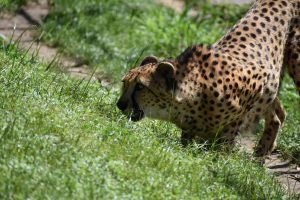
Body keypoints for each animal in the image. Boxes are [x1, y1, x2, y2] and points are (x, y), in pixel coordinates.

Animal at [117, 0, 300, 156]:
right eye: (124, 83)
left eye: (140, 86)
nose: (119, 105)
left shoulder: (259, 80)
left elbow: (230, 131)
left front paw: (220, 156)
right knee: (279, 114)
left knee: (276, 116)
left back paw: (260, 154)